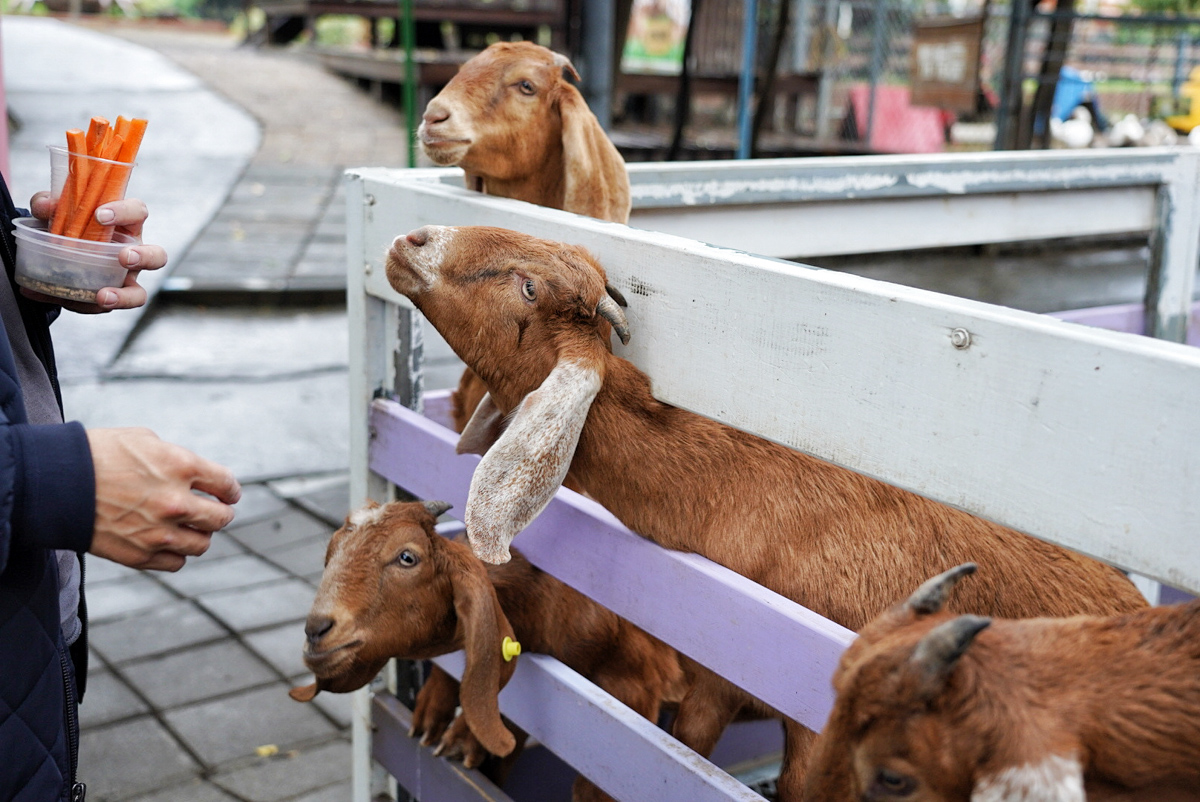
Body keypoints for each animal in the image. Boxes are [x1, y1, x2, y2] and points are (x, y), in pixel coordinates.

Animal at [290, 497, 686, 797]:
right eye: (332, 552)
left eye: (407, 557)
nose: (316, 630)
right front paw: (435, 717)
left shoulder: (637, 687)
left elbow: (592, 789)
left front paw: (463, 736)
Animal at [381, 222, 1142, 797]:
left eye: (529, 285)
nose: (412, 240)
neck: (744, 489)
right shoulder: (712, 678)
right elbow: (676, 751)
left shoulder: (819, 713)